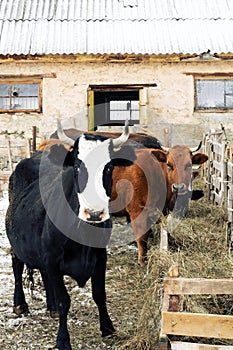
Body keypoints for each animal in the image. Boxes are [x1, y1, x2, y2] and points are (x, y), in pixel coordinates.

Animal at [5, 119, 135, 348]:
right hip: (16, 243)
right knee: (17, 265)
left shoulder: (100, 256)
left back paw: (50, 307)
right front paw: (63, 339)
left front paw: (108, 328)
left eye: (109, 167)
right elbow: (64, 301)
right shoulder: (52, 258)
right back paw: (20, 304)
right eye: (77, 166)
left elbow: (99, 294)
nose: (94, 213)